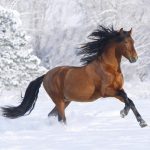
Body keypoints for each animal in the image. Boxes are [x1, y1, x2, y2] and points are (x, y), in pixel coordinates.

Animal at [2, 25, 148, 127]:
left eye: (133, 41)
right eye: (125, 42)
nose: (134, 58)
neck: (108, 68)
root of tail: (46, 75)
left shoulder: (117, 90)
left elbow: (129, 100)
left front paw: (142, 122)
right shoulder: (106, 92)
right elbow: (127, 98)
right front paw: (123, 113)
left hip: (66, 101)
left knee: (52, 115)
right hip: (59, 101)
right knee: (61, 118)